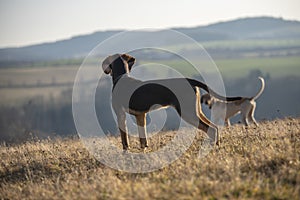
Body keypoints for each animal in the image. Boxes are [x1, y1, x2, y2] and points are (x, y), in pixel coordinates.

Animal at [102, 53, 240, 150]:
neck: (122, 78)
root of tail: (190, 81)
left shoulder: (121, 114)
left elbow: (124, 140)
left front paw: (126, 153)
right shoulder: (141, 115)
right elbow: (143, 139)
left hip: (187, 112)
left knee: (210, 129)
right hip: (196, 111)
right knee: (215, 127)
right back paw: (217, 146)